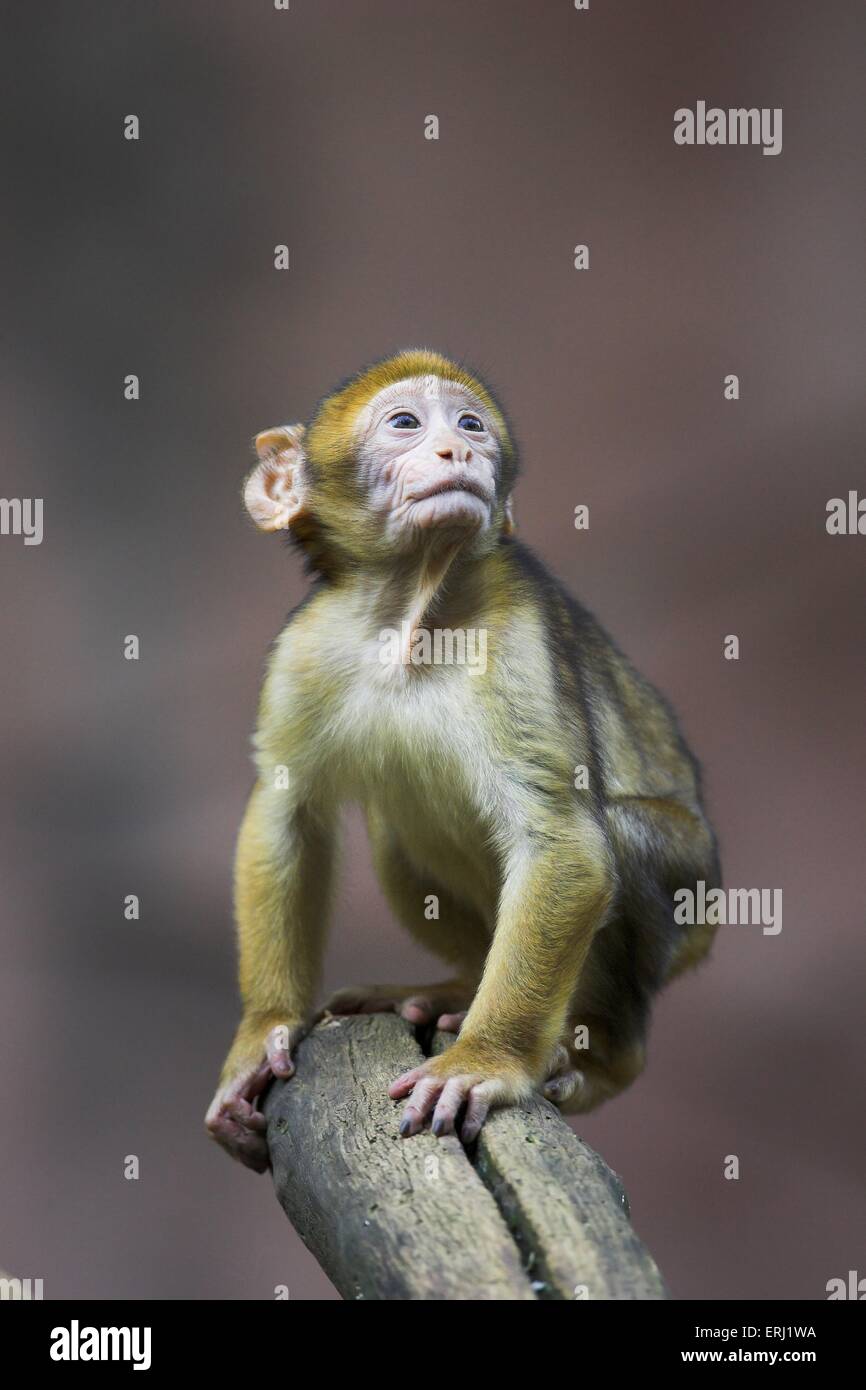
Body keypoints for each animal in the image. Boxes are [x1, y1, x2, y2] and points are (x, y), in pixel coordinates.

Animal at [207, 347, 722, 1173]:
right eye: (406, 423)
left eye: (472, 423)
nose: (459, 451)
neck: (412, 612)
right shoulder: (305, 646)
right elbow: (286, 810)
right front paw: (263, 1033)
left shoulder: (516, 636)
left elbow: (566, 844)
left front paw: (487, 1061)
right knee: (396, 833)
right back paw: (452, 988)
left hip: (696, 900)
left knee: (628, 841)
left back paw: (604, 1060)